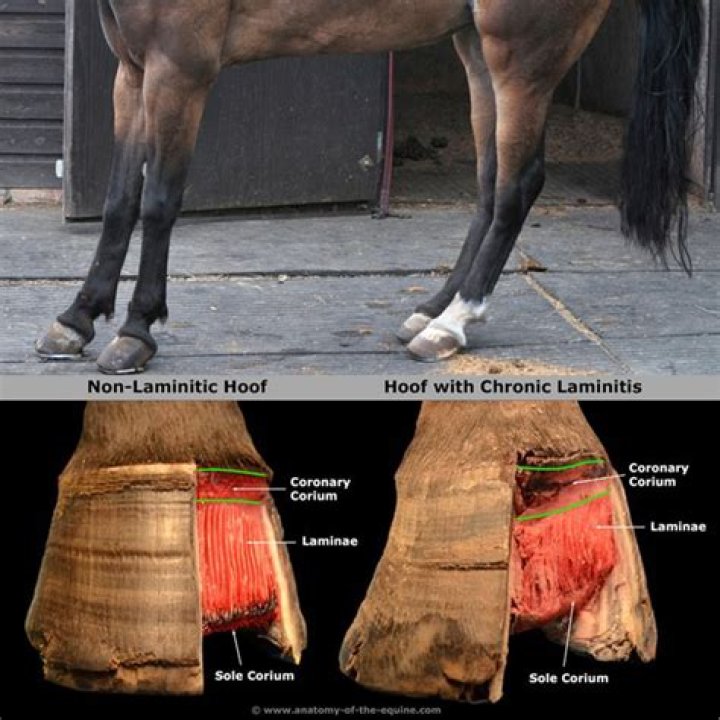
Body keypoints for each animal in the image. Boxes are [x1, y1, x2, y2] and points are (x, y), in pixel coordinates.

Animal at [36, 0, 702, 374]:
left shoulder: (179, 71)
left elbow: (157, 204)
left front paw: (135, 332)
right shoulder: (133, 72)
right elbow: (118, 204)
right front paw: (76, 320)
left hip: (522, 58)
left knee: (518, 186)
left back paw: (450, 326)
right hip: (477, 50)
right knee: (490, 184)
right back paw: (432, 310)